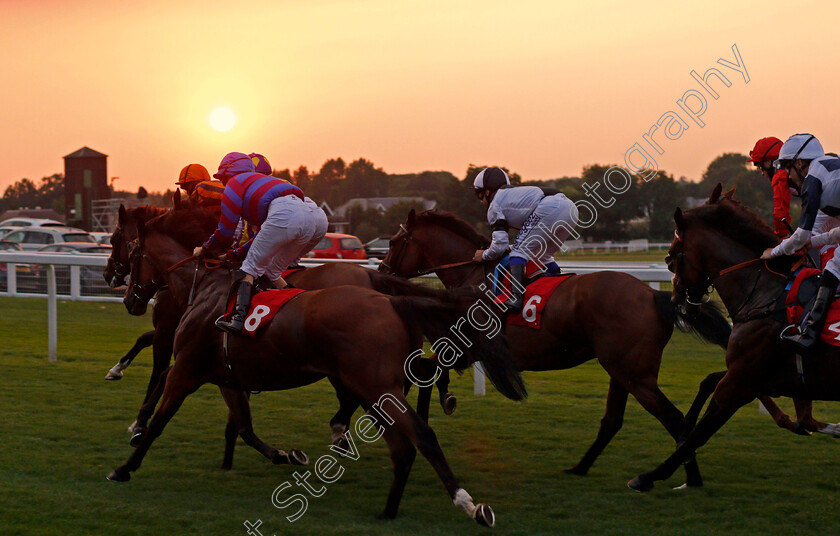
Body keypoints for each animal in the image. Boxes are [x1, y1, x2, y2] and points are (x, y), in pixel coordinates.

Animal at [106, 206, 524, 528]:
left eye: (118, 242)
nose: (122, 291)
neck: (205, 285)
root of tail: (387, 298)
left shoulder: (187, 370)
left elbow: (161, 417)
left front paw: (125, 462)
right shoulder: (228, 377)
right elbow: (243, 426)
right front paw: (281, 455)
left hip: (374, 385)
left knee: (418, 435)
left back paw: (464, 502)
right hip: (375, 388)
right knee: (404, 440)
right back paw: (392, 506)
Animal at [378, 208, 740, 482]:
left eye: (394, 241)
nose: (381, 270)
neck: (471, 277)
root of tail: (654, 294)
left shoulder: (468, 347)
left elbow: (427, 370)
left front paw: (437, 407)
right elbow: (426, 370)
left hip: (636, 376)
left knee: (674, 419)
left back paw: (687, 478)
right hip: (622, 370)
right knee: (613, 421)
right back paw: (580, 468)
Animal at [632, 186, 840, 492]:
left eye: (671, 256)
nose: (677, 300)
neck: (766, 296)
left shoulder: (741, 382)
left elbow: (703, 431)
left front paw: (650, 475)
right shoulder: (757, 375)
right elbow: (708, 383)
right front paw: (684, 428)